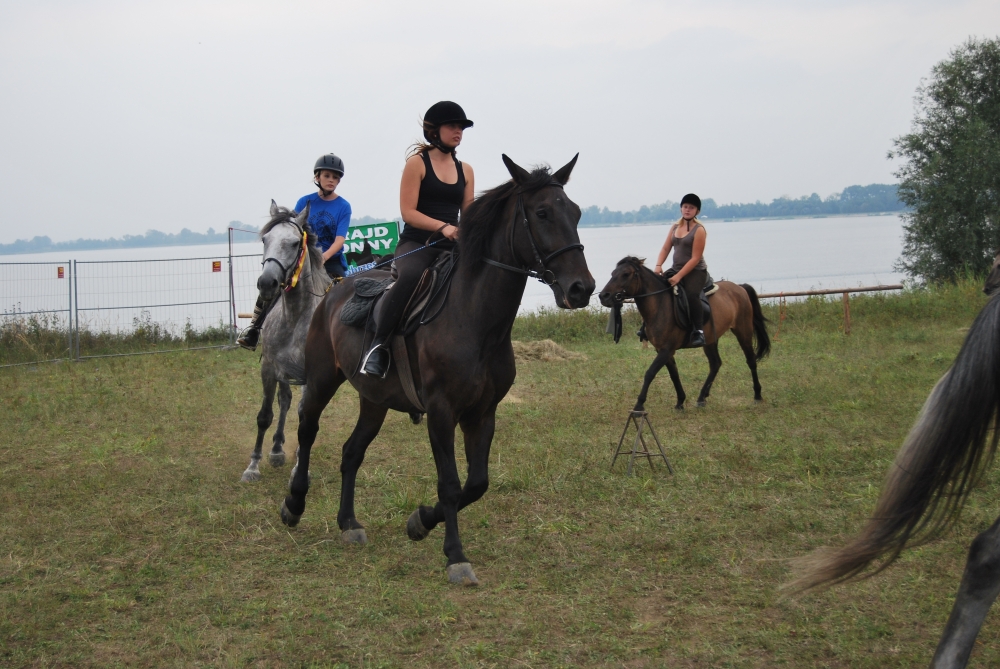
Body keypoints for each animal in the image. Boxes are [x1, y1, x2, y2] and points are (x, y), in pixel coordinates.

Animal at [240, 201, 331, 483]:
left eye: (294, 243)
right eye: (265, 239)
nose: (267, 283)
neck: (294, 318)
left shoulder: (311, 375)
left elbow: (305, 419)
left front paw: (300, 470)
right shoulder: (269, 368)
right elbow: (264, 416)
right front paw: (253, 466)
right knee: (284, 400)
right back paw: (277, 449)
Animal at [279, 154, 595, 585]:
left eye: (575, 212)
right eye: (543, 212)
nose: (582, 288)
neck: (474, 319)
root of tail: (335, 290)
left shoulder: (482, 413)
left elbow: (476, 484)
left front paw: (421, 522)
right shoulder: (441, 413)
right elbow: (450, 484)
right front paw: (455, 556)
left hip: (374, 401)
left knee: (352, 452)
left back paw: (349, 523)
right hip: (323, 379)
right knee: (307, 430)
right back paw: (294, 505)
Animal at [598, 257, 770, 411]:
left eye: (626, 274)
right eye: (613, 273)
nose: (603, 296)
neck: (660, 305)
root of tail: (739, 288)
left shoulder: (666, 350)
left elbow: (650, 373)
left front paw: (639, 405)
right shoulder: (663, 350)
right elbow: (674, 374)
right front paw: (680, 401)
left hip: (743, 331)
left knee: (750, 360)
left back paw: (757, 395)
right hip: (710, 340)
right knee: (715, 364)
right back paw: (702, 397)